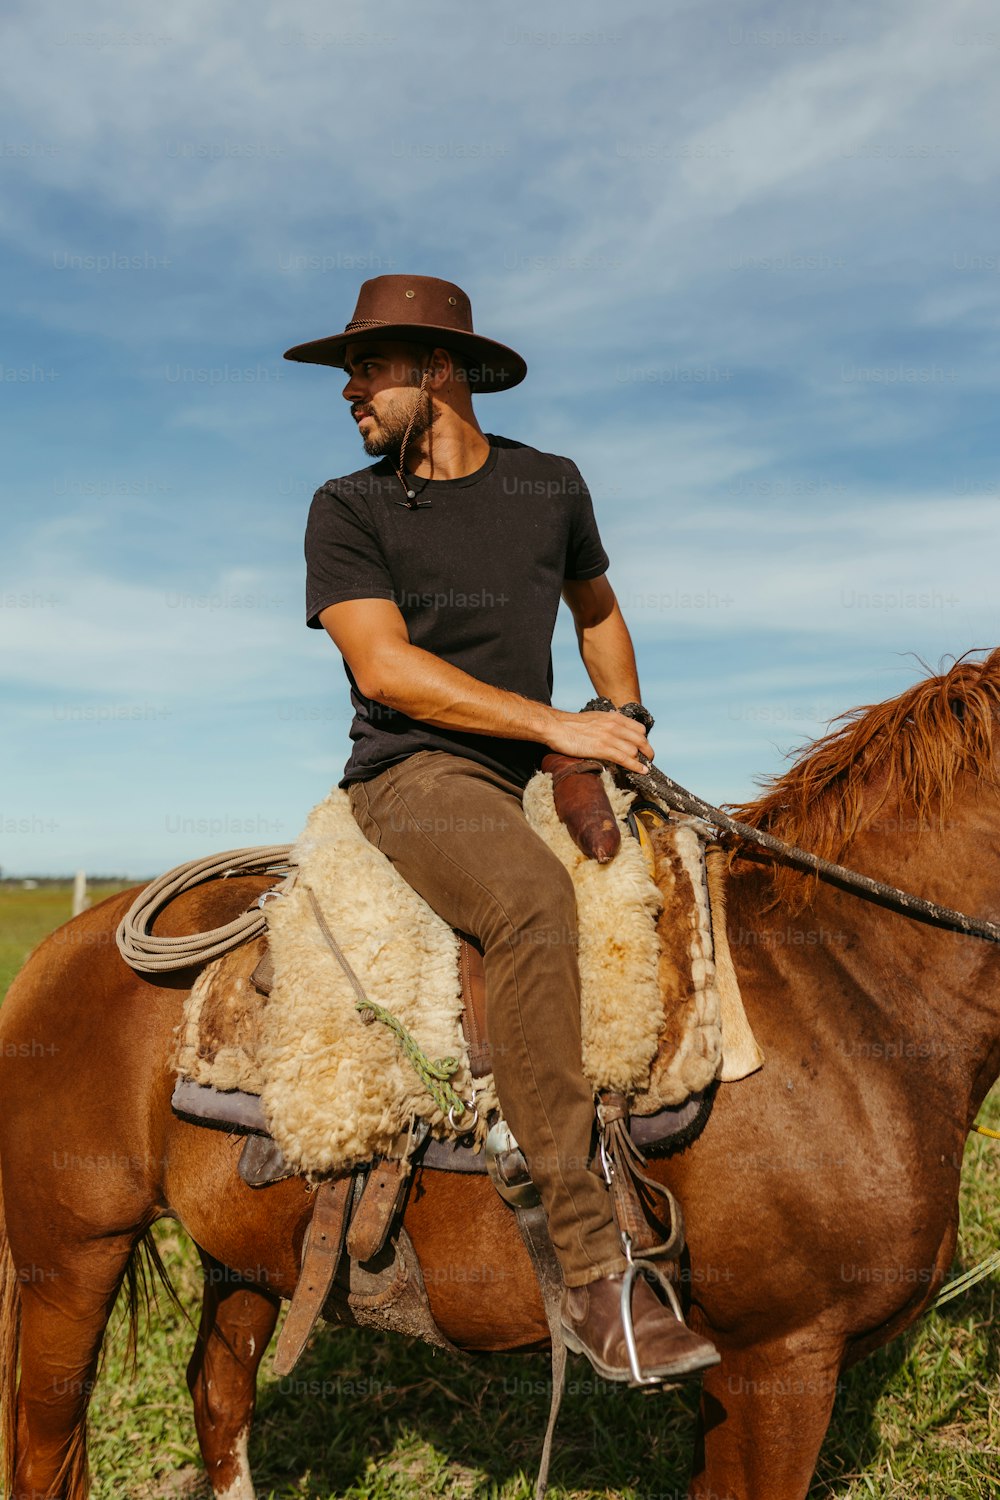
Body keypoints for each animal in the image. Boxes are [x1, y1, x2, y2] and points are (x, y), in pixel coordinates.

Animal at [1, 654, 1000, 1500]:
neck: (842, 985)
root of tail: (55, 952)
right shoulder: (779, 1363)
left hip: (239, 1256)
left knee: (217, 1396)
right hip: (71, 1259)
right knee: (47, 1445)